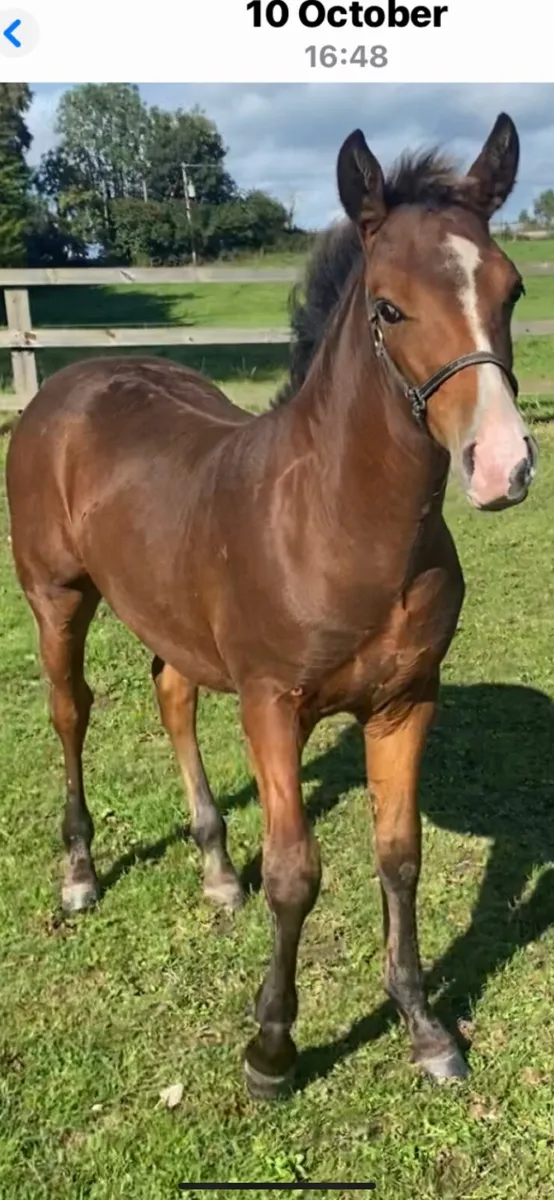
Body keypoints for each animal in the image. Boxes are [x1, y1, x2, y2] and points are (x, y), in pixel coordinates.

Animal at [6, 112, 537, 1100]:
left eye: (512, 289)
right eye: (388, 307)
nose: (502, 467)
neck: (337, 522)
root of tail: (72, 380)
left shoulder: (405, 703)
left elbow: (398, 857)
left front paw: (424, 1029)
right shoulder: (272, 704)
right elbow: (296, 873)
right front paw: (273, 1049)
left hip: (171, 614)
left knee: (171, 694)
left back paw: (217, 868)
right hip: (55, 597)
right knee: (71, 713)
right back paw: (81, 871)